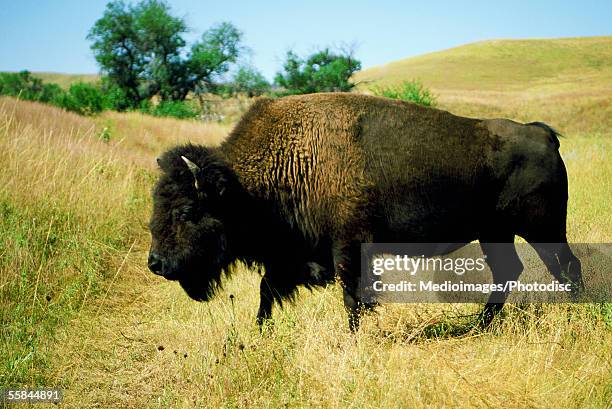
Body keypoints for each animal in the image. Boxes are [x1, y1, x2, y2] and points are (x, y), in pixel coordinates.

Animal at [148, 91, 584, 328]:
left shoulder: (349, 246)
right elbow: (267, 291)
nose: (156, 263)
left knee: (566, 265)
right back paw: (479, 325)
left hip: (543, 229)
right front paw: (259, 333)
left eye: (187, 212)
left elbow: (352, 297)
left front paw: (354, 338)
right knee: (510, 270)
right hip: (495, 233)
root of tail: (541, 134)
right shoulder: (295, 255)